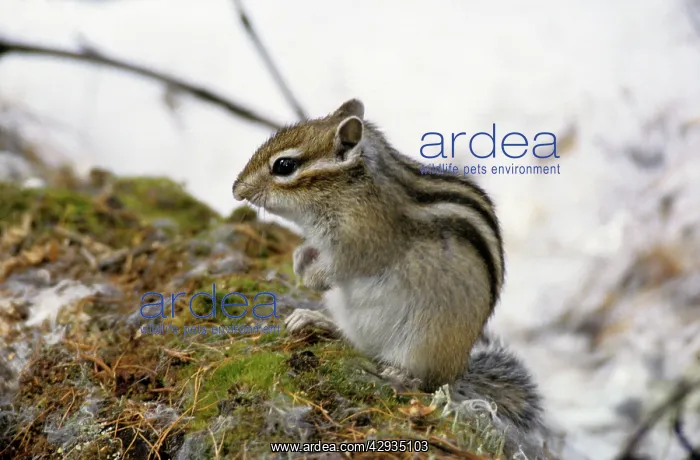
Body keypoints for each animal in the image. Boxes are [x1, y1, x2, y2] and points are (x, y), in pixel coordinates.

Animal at [233, 99, 549, 455]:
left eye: (284, 165)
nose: (236, 190)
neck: (350, 189)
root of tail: (458, 369)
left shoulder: (362, 243)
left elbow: (341, 268)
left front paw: (311, 277)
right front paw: (300, 259)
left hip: (426, 341)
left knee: (426, 382)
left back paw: (400, 375)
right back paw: (315, 320)